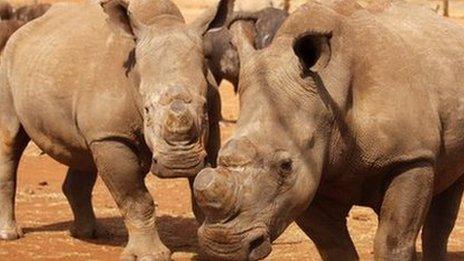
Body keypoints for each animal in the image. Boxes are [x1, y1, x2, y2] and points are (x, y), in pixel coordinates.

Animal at [0, 0, 234, 258]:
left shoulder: (211, 128)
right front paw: (150, 256)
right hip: (7, 64)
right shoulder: (110, 136)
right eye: (147, 110)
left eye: (203, 107)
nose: (179, 163)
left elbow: (201, 190)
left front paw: (209, 249)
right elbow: (136, 199)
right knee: (11, 141)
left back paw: (87, 234)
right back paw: (10, 234)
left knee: (81, 154)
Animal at [194, 0, 464, 258]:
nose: (223, 245)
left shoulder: (411, 156)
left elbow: (392, 241)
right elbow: (334, 246)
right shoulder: (309, 174)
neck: (330, 88)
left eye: (285, 166)